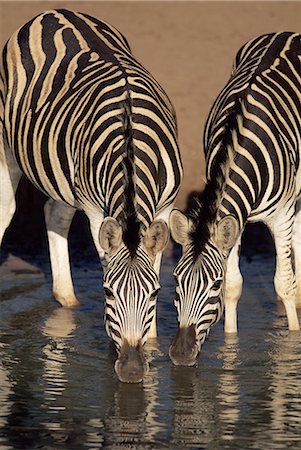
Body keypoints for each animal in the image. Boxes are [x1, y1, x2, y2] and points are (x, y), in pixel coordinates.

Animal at [0, 9, 180, 384]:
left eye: (156, 293)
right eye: (107, 293)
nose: (131, 371)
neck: (130, 143)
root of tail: (54, 12)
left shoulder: (165, 206)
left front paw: (152, 346)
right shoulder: (98, 212)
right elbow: (105, 260)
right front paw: (114, 348)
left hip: (62, 172)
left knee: (54, 213)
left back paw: (67, 300)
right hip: (7, 144)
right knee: (6, 209)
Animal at [169, 33, 300, 368]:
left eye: (211, 285)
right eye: (176, 281)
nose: (181, 355)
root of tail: (285, 34)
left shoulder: (281, 216)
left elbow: (283, 282)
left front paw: (292, 341)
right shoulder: (233, 220)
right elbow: (235, 285)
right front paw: (231, 349)